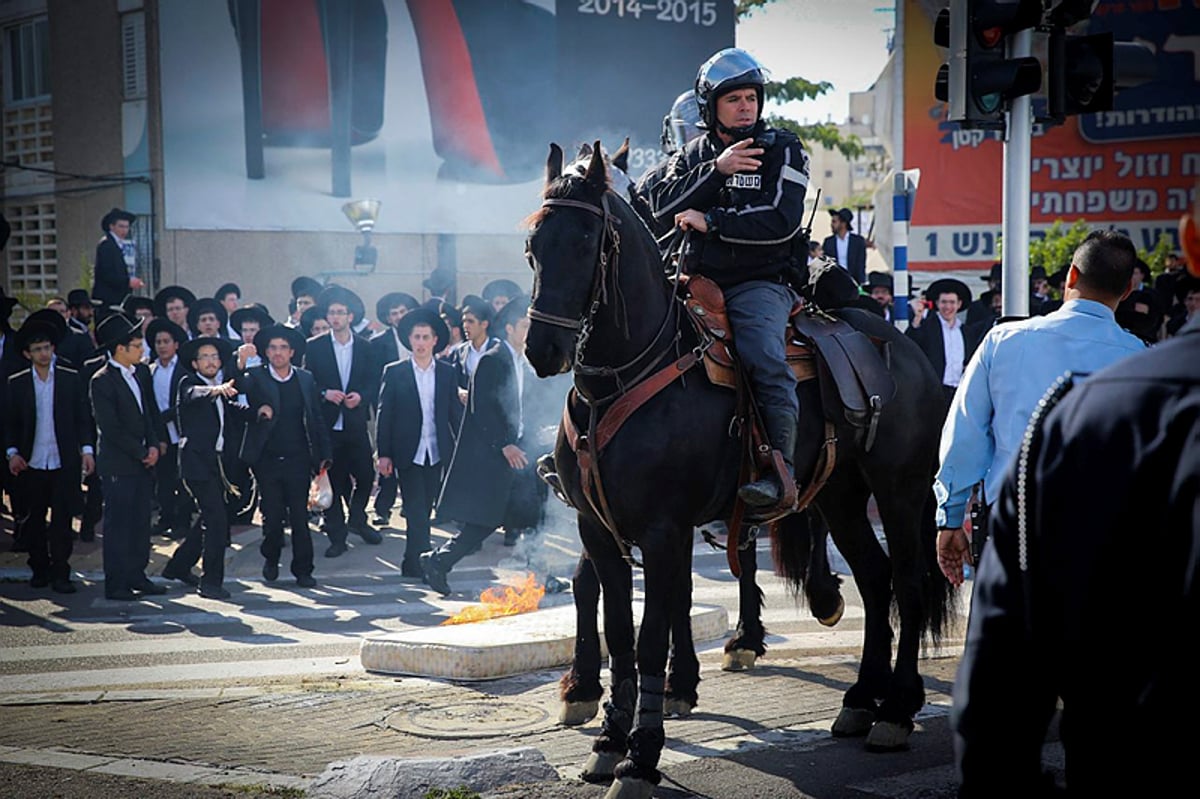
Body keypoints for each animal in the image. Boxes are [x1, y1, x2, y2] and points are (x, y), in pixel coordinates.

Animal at [525, 144, 955, 796]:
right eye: (533, 244)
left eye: (583, 242)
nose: (541, 350)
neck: (619, 380)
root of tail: (900, 342)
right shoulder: (599, 529)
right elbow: (616, 628)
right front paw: (606, 735)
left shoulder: (663, 530)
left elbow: (650, 636)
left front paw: (641, 754)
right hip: (840, 497)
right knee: (874, 578)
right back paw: (860, 700)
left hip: (899, 492)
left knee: (906, 581)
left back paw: (898, 709)